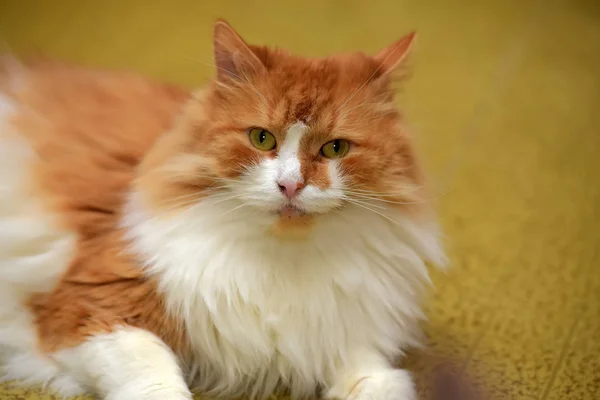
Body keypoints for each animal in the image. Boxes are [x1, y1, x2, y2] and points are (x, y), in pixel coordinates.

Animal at [0, 18, 442, 400]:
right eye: (262, 139)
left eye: (335, 148)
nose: (291, 185)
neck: (281, 263)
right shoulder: (95, 306)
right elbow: (155, 378)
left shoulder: (341, 335)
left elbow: (375, 378)